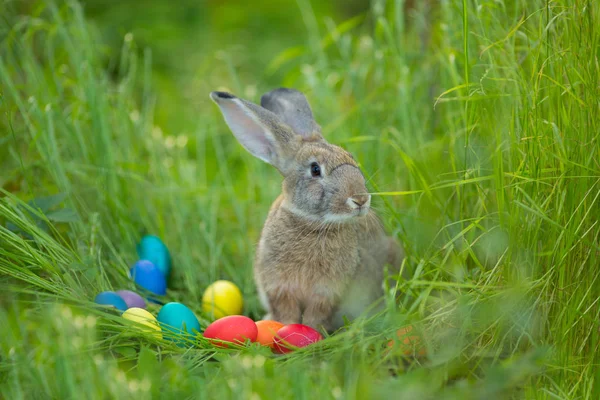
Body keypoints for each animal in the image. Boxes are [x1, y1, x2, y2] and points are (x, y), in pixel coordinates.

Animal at [211, 88, 404, 332]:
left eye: (351, 158)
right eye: (315, 169)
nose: (360, 200)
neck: (312, 224)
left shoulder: (327, 292)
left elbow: (316, 315)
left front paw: (311, 333)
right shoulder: (280, 288)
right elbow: (287, 313)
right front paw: (283, 328)